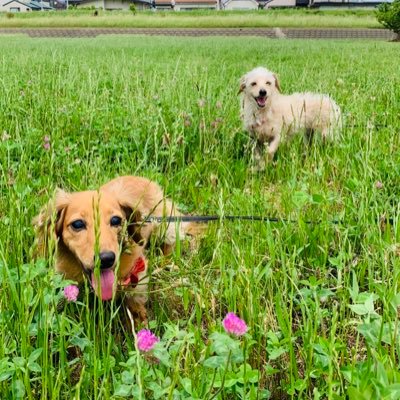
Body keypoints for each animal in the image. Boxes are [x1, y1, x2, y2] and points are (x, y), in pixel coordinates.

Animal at [33, 175, 187, 322]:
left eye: (116, 220)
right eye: (77, 224)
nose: (106, 259)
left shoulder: (137, 275)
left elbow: (136, 304)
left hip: (166, 228)